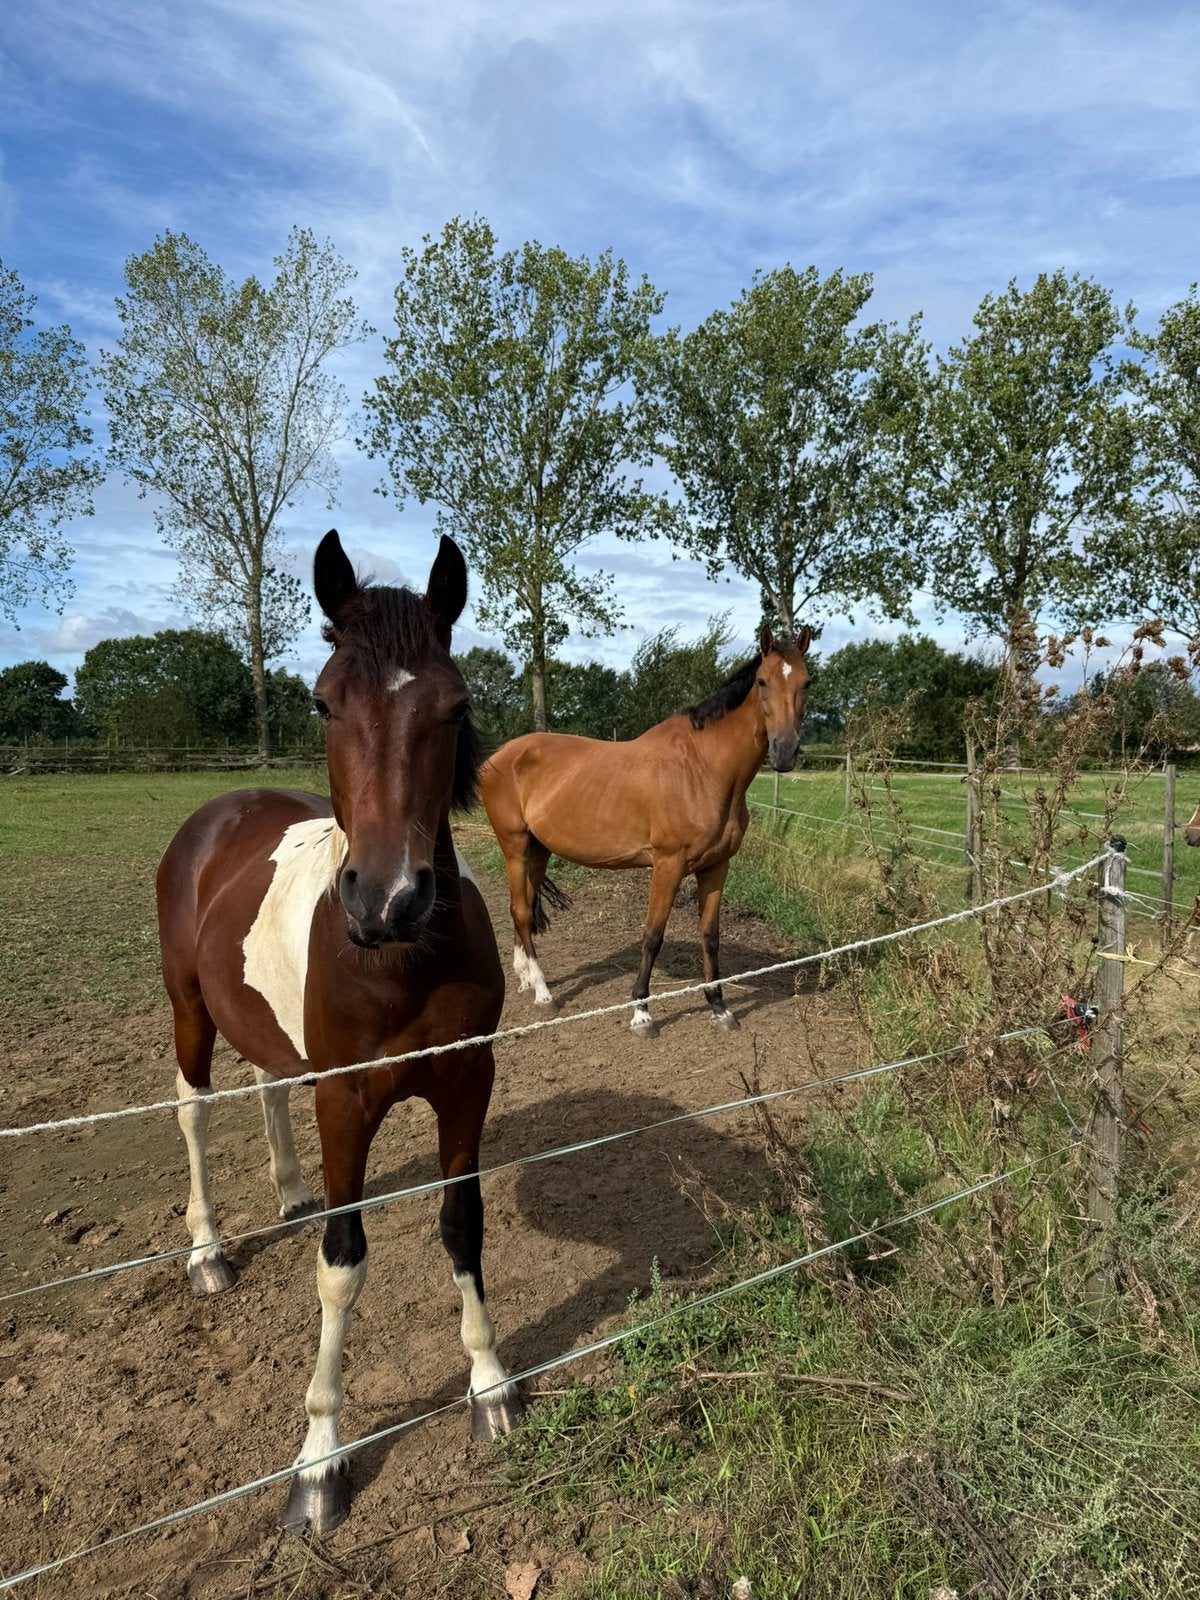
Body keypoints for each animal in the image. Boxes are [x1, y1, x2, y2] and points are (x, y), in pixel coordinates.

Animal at [156, 530, 521, 1537]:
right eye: (324, 700)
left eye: (456, 705)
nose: (389, 899)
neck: (403, 962)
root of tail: (218, 817)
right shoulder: (348, 1105)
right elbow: (342, 1264)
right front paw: (319, 1459)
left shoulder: (466, 1083)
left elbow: (462, 1226)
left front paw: (490, 1388)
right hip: (189, 1010)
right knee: (195, 1109)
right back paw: (208, 1253)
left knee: (267, 1081)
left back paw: (288, 1192)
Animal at [480, 625, 812, 1038]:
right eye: (763, 681)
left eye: (807, 682)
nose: (784, 751)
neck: (702, 769)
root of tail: (499, 757)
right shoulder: (668, 866)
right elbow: (653, 936)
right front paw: (641, 1012)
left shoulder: (716, 867)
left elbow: (711, 936)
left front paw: (719, 1008)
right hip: (514, 845)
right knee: (522, 911)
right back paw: (543, 993)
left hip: (537, 850)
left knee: (521, 908)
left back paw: (526, 979)